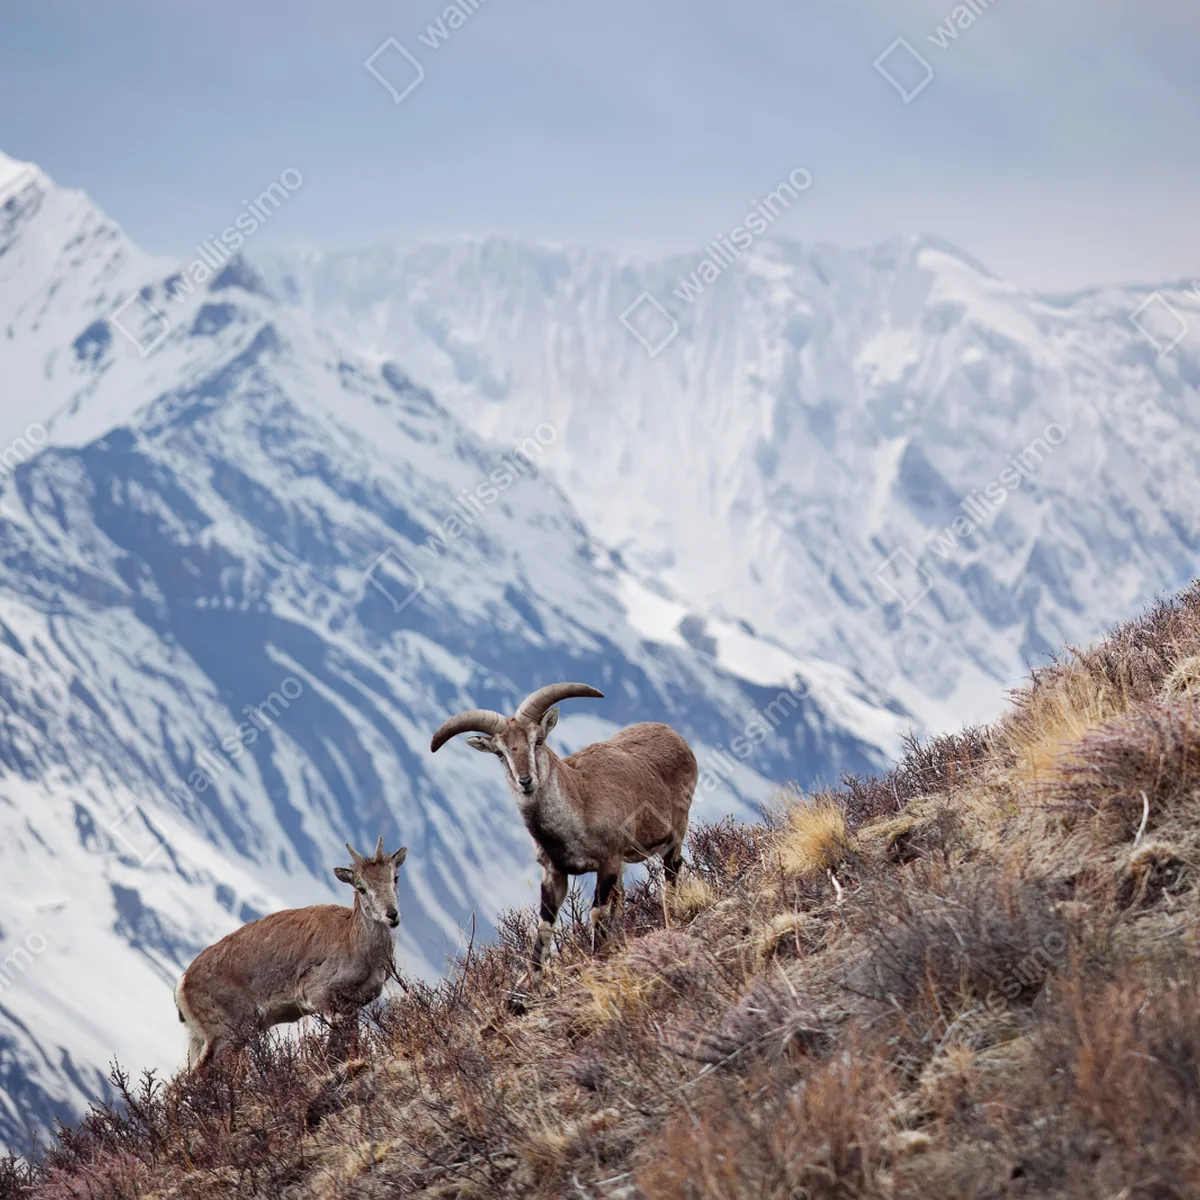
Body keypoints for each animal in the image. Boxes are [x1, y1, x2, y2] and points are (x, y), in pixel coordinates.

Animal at [174, 837, 406, 1070]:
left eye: (394, 877)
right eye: (361, 887)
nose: (392, 914)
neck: (357, 946)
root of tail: (182, 986)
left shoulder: (355, 1002)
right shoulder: (319, 992)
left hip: (200, 1037)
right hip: (226, 1030)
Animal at [430, 682, 697, 976]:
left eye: (538, 740)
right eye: (501, 752)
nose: (525, 781)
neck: (579, 804)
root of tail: (674, 736)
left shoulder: (608, 860)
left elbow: (596, 912)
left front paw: (597, 959)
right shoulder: (554, 872)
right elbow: (544, 926)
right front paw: (533, 981)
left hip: (675, 832)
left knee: (671, 873)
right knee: (623, 896)